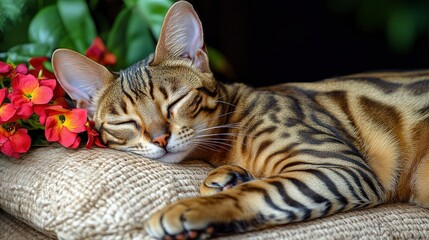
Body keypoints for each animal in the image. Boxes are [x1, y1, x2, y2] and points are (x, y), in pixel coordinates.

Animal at [51, 0, 428, 239]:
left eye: (175, 101)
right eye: (125, 122)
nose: (160, 138)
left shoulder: (339, 167)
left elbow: (261, 192)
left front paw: (191, 208)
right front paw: (226, 180)